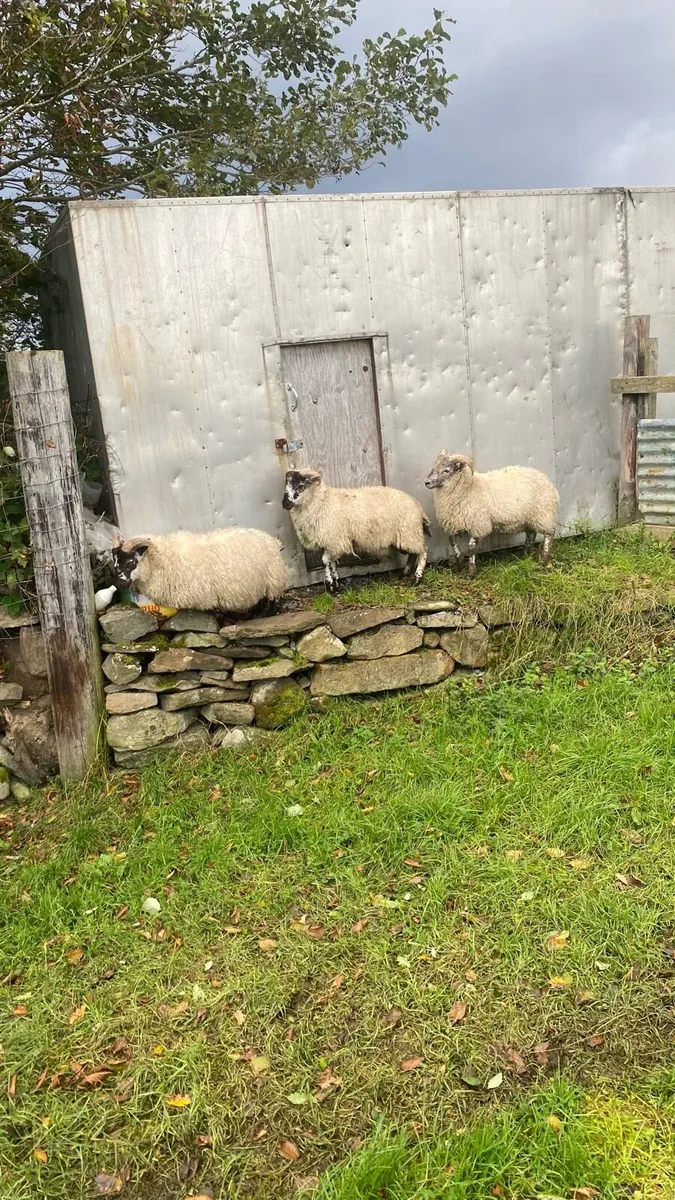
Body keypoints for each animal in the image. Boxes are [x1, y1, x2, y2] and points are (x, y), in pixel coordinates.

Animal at [111, 527, 287, 614]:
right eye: (115, 561)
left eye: (131, 562)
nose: (118, 584)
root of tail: (272, 540)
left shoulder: (207, 597)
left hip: (273, 580)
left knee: (274, 601)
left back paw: (265, 614)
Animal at [282, 468, 431, 591]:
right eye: (287, 485)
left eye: (301, 486)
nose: (285, 504)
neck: (321, 502)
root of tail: (417, 505)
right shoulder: (333, 543)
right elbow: (332, 562)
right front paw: (336, 583)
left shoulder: (334, 541)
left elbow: (325, 561)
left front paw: (330, 586)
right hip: (404, 537)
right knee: (413, 554)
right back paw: (404, 573)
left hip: (410, 532)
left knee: (423, 551)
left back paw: (417, 578)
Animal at [424, 452, 559, 578]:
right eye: (434, 466)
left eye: (446, 470)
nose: (427, 482)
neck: (468, 489)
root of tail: (547, 481)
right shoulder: (454, 522)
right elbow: (452, 541)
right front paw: (459, 564)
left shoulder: (479, 525)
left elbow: (471, 548)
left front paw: (471, 572)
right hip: (528, 518)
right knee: (531, 535)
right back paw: (524, 556)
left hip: (542, 514)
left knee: (550, 533)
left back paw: (543, 560)